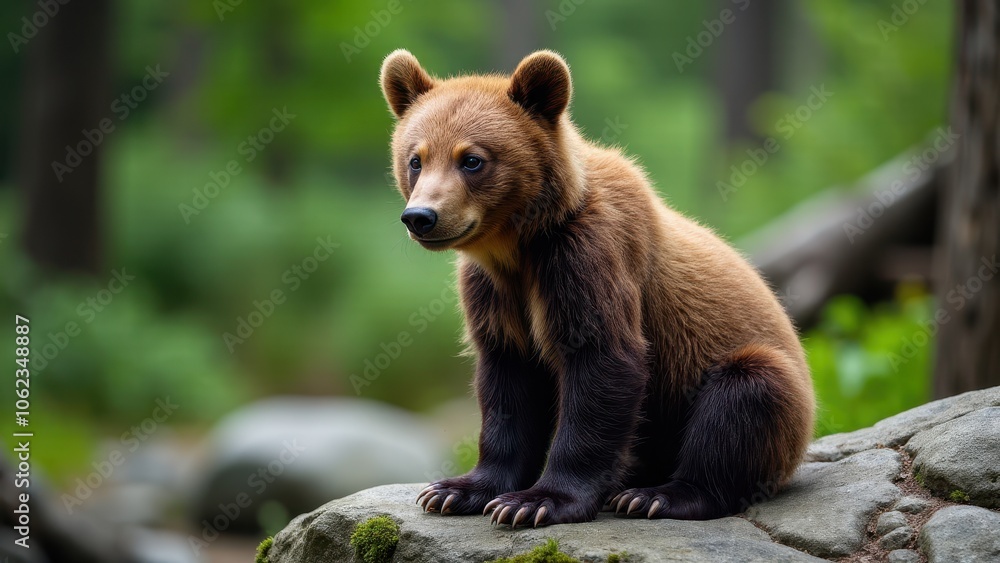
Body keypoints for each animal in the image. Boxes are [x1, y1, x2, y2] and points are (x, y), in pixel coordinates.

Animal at [379, 49, 815, 527]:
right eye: (416, 158)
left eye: (472, 159)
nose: (421, 216)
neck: (519, 248)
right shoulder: (493, 293)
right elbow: (506, 384)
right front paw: (456, 490)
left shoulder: (588, 258)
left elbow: (603, 362)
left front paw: (537, 500)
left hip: (759, 381)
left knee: (744, 394)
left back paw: (657, 495)